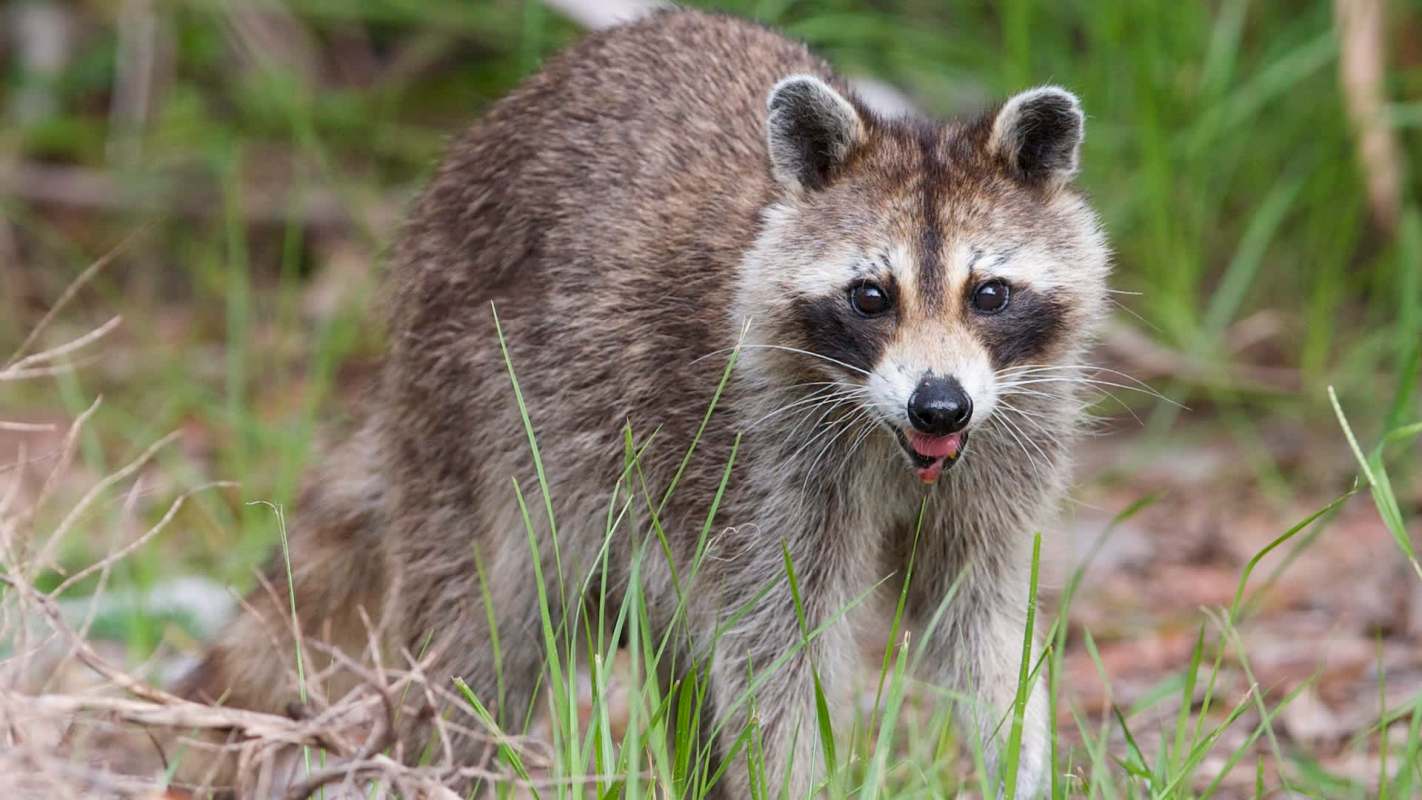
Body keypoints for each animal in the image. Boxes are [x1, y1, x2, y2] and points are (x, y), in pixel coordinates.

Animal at [181, 9, 1109, 798]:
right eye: (871, 297)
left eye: (989, 293)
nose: (938, 407)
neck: (887, 436)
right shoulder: (753, 464)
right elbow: (775, 652)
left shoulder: (1006, 446)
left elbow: (985, 631)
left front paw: (1020, 765)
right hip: (467, 409)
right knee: (477, 635)